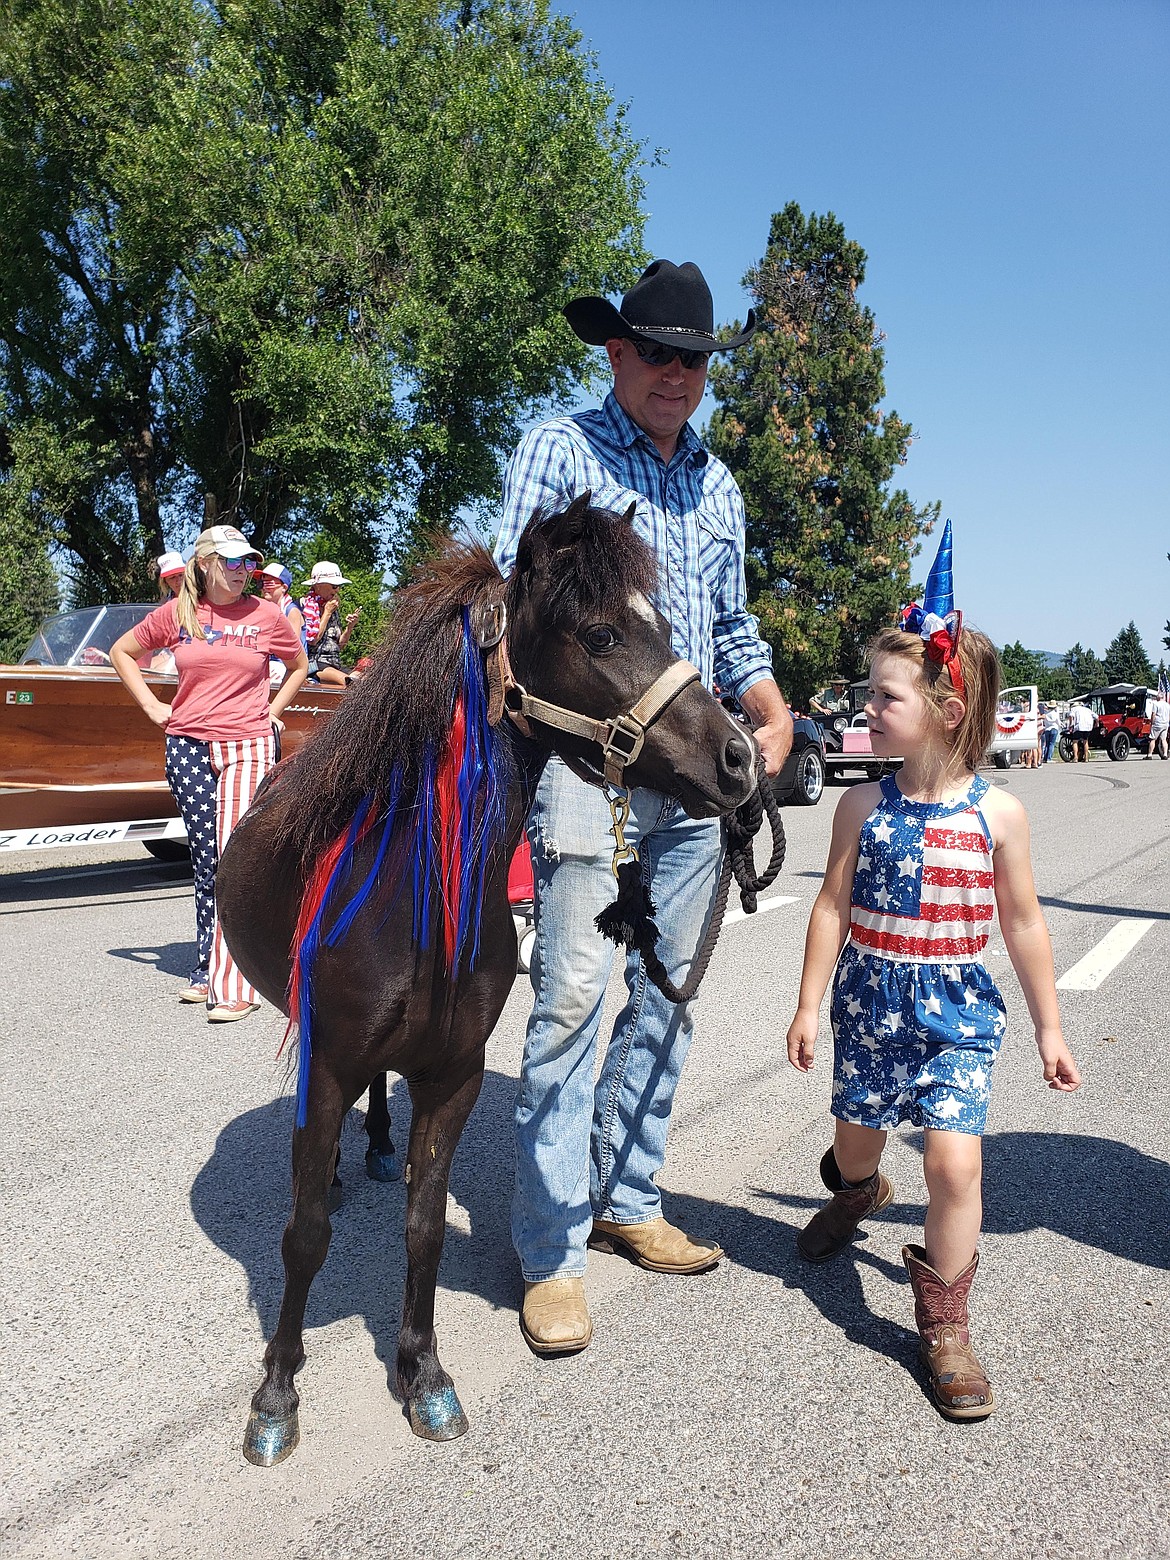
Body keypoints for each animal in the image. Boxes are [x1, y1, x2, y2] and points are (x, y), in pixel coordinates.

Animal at [218, 499, 761, 1460]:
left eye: (667, 626)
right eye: (601, 632)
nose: (739, 761)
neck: (418, 896)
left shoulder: (454, 1074)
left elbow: (425, 1227)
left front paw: (424, 1376)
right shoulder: (328, 1065)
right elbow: (305, 1236)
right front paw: (276, 1396)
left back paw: (376, 1145)